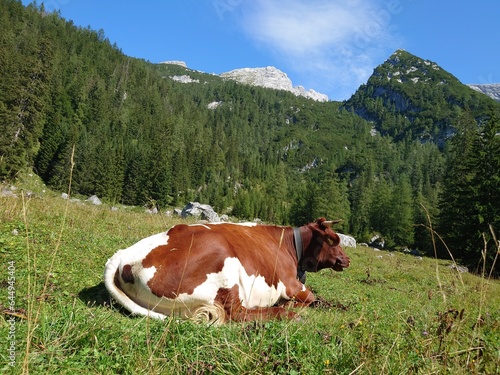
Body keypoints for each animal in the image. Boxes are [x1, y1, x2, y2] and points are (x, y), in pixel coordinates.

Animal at [103, 219, 350, 324]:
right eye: (332, 240)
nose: (346, 259)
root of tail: (122, 255)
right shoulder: (291, 284)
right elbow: (312, 298)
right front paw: (293, 306)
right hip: (224, 261)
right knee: (238, 313)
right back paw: (286, 313)